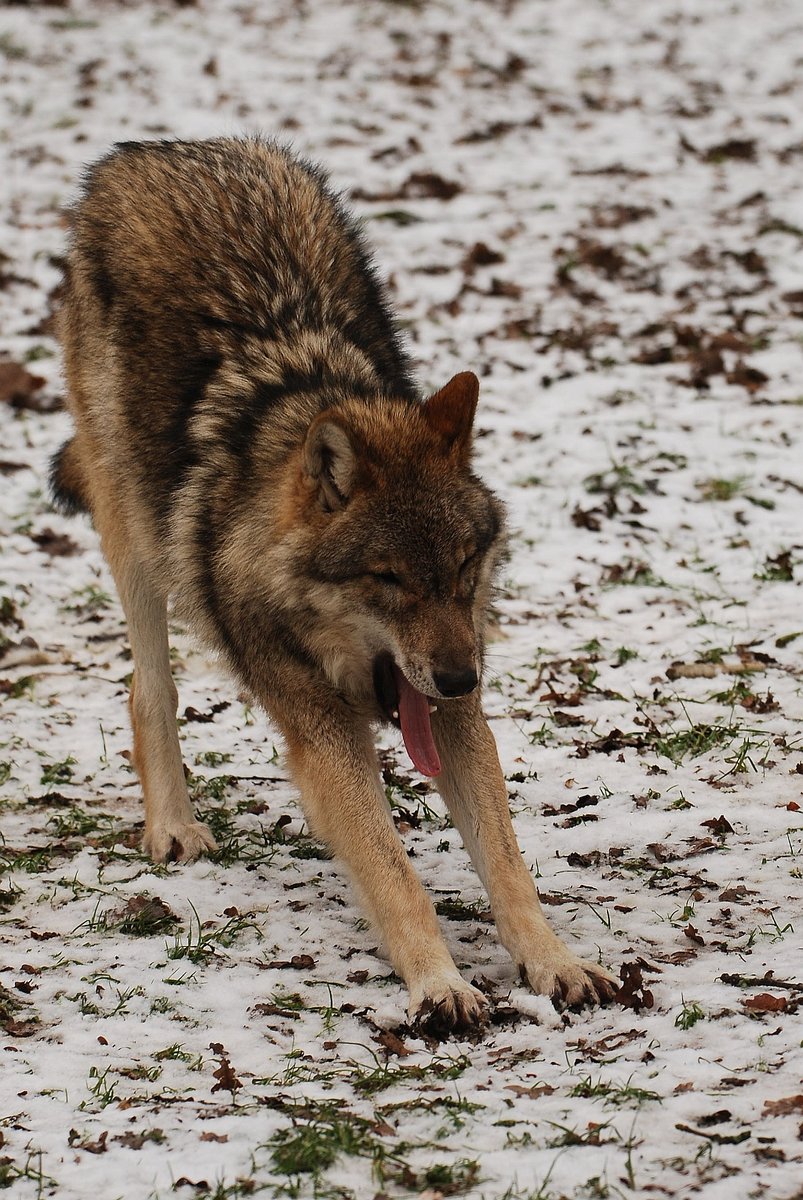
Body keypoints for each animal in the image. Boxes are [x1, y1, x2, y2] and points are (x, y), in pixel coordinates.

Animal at [52, 136, 616, 1035]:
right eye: (387, 579)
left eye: (462, 569)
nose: (460, 677)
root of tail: (164, 147)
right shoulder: (324, 737)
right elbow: (394, 874)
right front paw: (439, 986)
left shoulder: (455, 720)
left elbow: (507, 864)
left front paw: (554, 963)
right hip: (133, 535)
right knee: (148, 689)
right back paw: (173, 828)